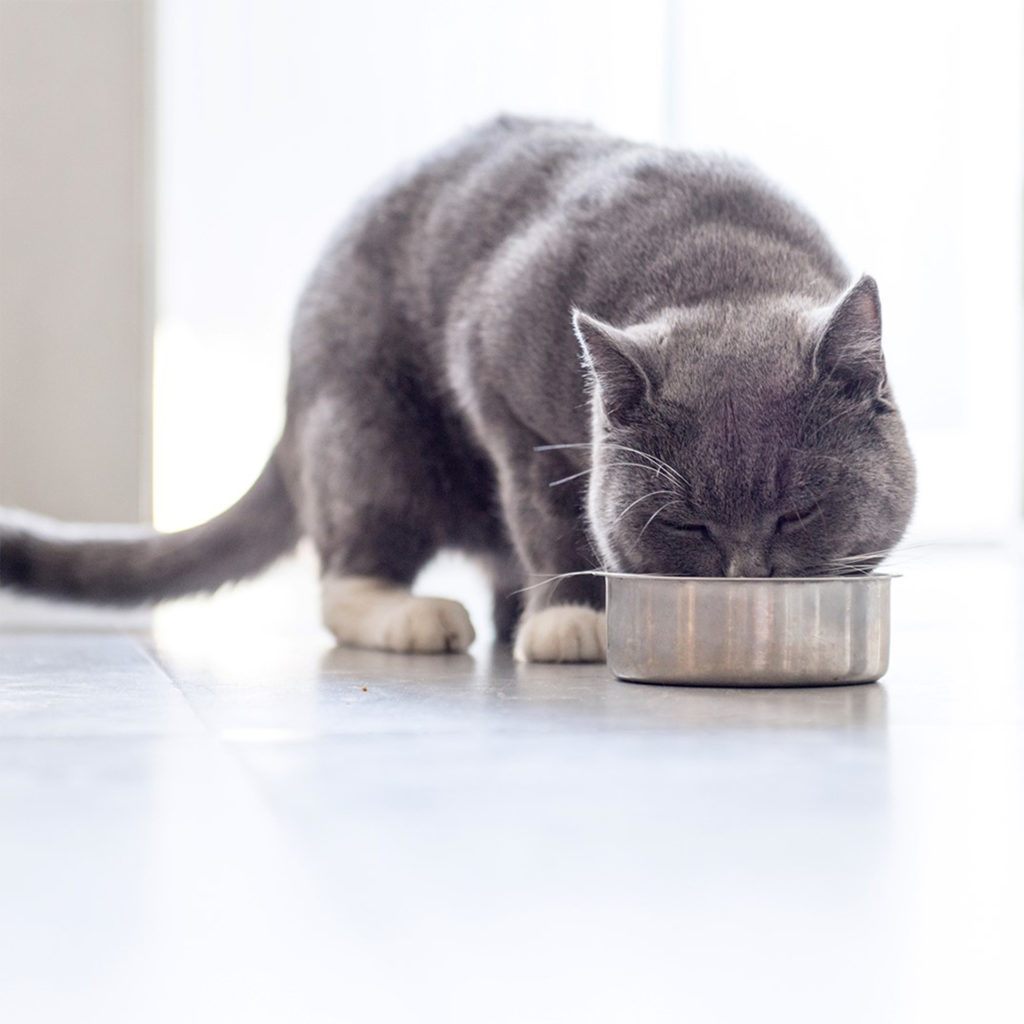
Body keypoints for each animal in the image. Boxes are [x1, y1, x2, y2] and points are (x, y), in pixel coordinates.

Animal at [0, 116, 917, 659]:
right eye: (688, 524)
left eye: (798, 511)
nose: (748, 578)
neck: (723, 268)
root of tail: (289, 408)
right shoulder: (500, 383)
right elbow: (551, 513)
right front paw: (573, 617)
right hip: (369, 431)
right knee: (346, 571)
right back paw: (422, 616)